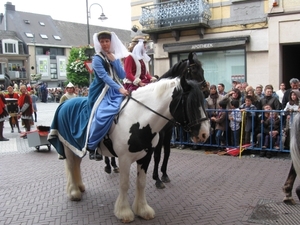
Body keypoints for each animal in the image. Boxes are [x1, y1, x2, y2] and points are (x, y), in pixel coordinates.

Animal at [152, 52, 209, 188]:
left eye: (203, 70)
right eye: (193, 70)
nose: (207, 91)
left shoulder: (168, 131)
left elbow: (167, 152)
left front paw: (164, 174)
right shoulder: (160, 133)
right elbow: (157, 155)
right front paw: (157, 179)